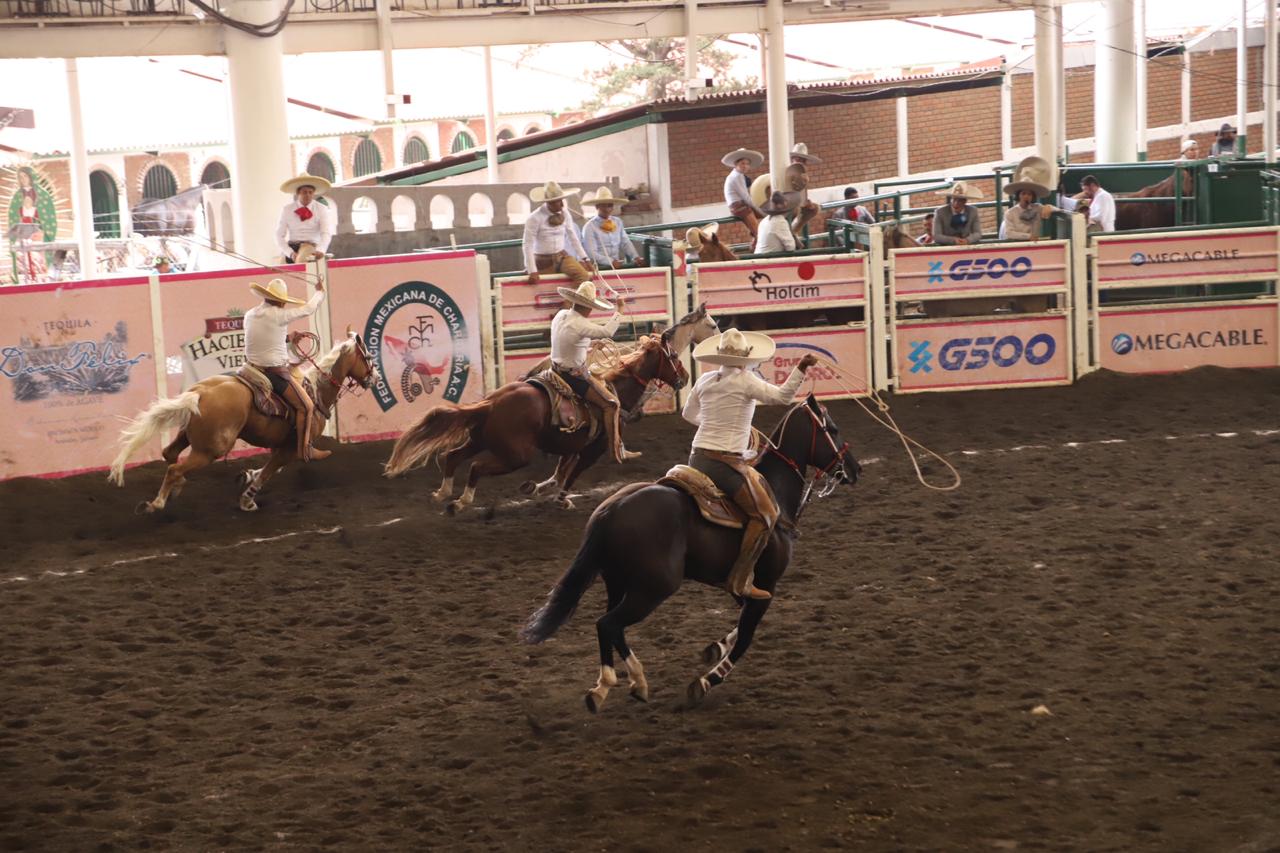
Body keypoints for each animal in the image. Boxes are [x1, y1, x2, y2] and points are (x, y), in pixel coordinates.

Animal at [107, 333, 376, 512]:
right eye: (368, 357)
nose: (373, 379)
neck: (316, 392)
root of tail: (200, 393)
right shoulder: (291, 449)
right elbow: (268, 472)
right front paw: (247, 499)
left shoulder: (280, 446)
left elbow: (269, 468)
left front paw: (245, 476)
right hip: (210, 450)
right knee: (174, 468)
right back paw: (156, 503)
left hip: (189, 437)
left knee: (169, 455)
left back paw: (175, 488)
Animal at [386, 315, 696, 507]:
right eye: (673, 356)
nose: (684, 377)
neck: (616, 389)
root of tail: (492, 402)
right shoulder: (591, 450)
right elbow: (570, 475)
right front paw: (560, 498)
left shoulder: (571, 445)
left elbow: (560, 472)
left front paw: (538, 488)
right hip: (515, 455)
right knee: (475, 467)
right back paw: (462, 501)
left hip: (479, 439)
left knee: (452, 457)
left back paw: (444, 493)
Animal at [519, 394, 860, 706]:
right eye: (833, 428)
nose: (855, 469)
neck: (776, 494)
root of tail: (612, 508)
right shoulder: (766, 583)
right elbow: (746, 634)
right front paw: (708, 679)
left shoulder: (744, 584)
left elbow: (742, 620)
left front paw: (715, 648)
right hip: (653, 589)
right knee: (608, 624)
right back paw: (617, 684)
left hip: (617, 582)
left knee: (610, 627)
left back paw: (621, 684)